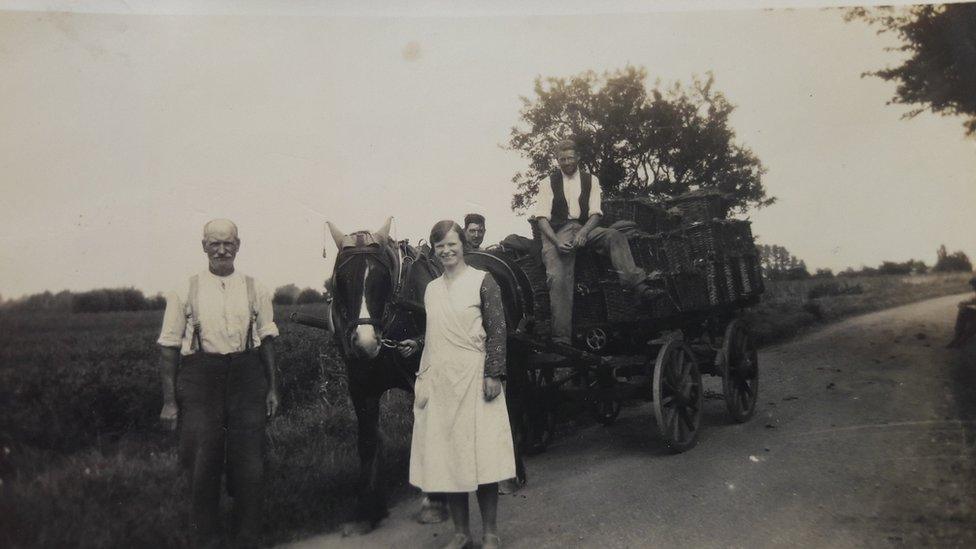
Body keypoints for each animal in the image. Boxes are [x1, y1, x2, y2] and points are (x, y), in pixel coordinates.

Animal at [326, 219, 528, 536]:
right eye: (342, 279)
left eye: (381, 278)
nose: (365, 342)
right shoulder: (361, 388)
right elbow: (368, 442)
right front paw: (367, 510)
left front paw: (433, 501)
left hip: (514, 353)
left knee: (515, 402)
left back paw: (513, 474)